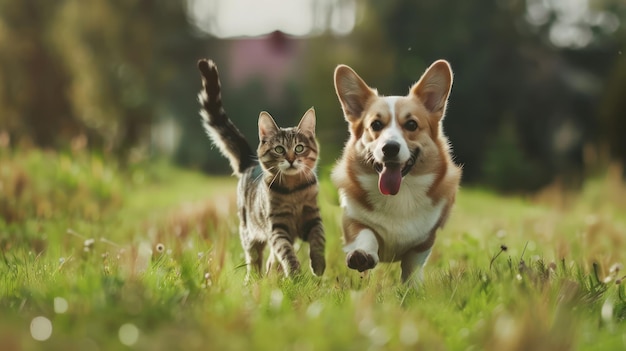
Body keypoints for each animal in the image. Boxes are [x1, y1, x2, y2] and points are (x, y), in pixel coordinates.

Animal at [196, 59, 326, 282]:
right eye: (279, 149)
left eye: (299, 148)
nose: (291, 159)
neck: (294, 190)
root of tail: (250, 164)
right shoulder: (277, 226)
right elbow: (286, 251)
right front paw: (295, 274)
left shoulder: (312, 217)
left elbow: (319, 240)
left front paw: (317, 265)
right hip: (248, 232)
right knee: (255, 259)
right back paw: (255, 279)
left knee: (270, 259)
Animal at [330, 60, 460, 286]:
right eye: (375, 125)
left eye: (411, 124)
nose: (390, 148)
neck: (400, 193)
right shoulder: (352, 219)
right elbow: (366, 233)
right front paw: (362, 255)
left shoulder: (425, 240)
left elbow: (412, 265)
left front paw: (413, 288)